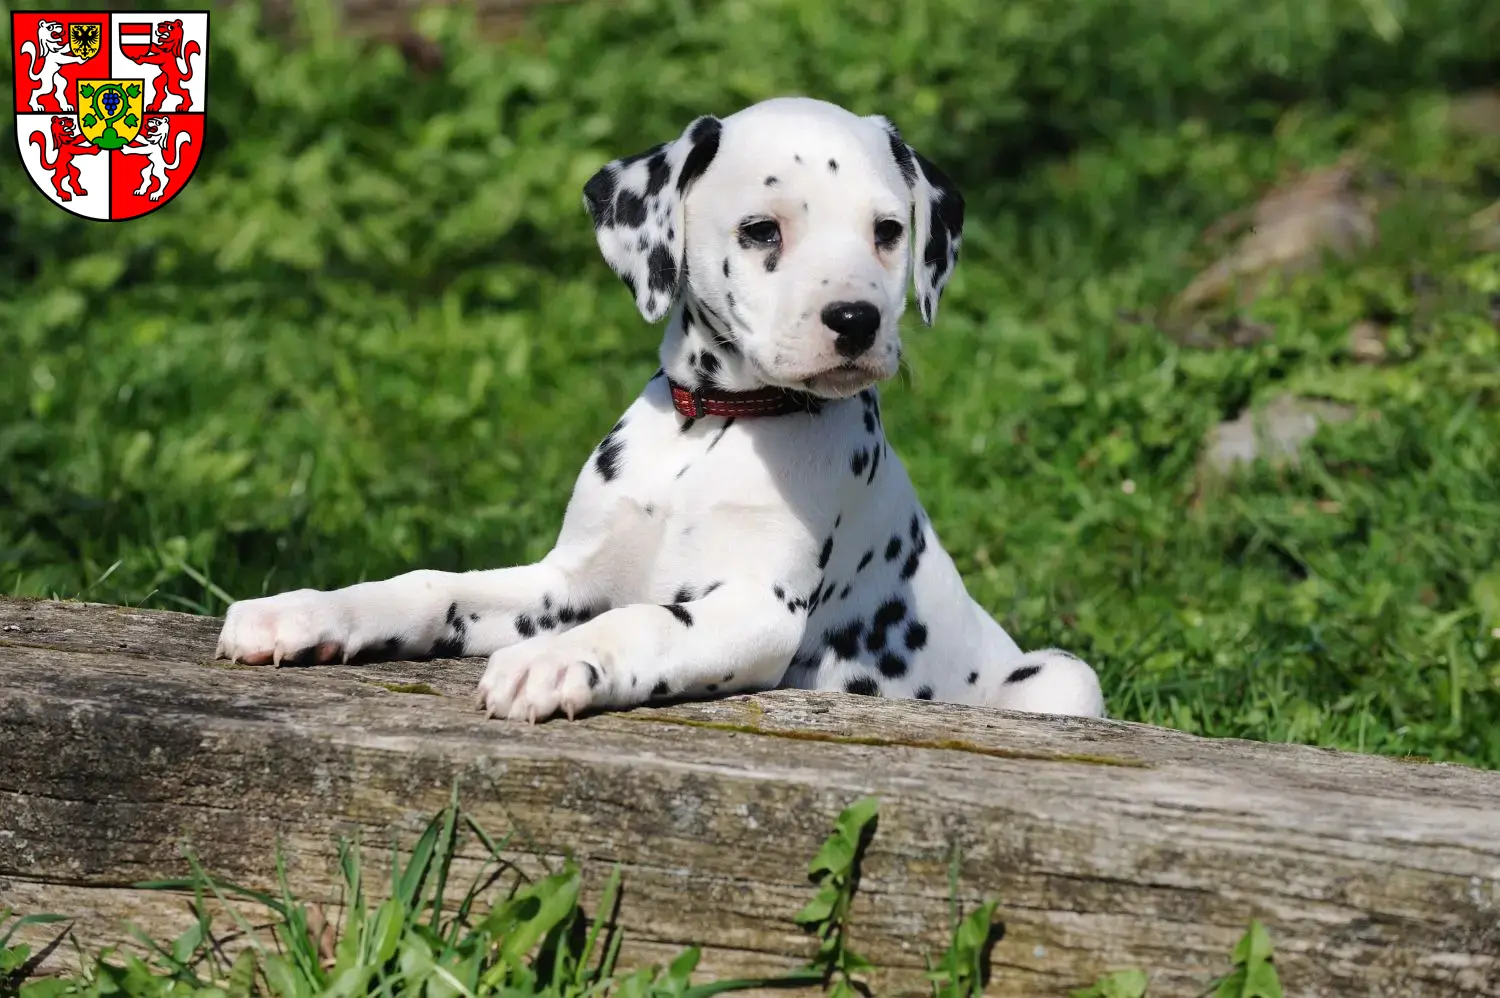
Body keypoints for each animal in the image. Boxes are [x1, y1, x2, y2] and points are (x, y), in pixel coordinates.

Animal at [217, 97, 1110, 720]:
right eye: (762, 230)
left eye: (888, 230)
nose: (857, 322)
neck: (712, 424)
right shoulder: (563, 584)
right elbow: (432, 584)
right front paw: (304, 611)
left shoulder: (756, 608)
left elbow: (649, 621)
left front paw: (553, 665)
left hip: (1062, 677)